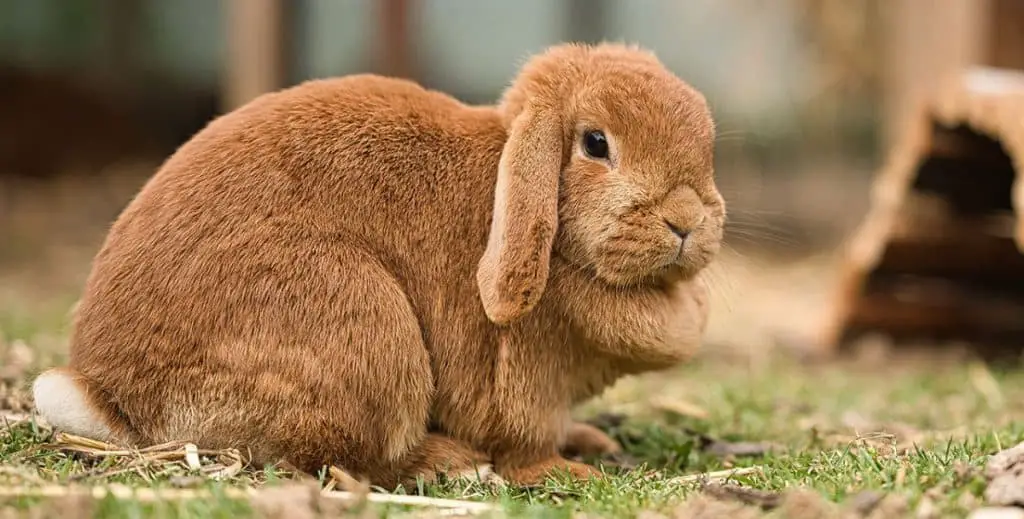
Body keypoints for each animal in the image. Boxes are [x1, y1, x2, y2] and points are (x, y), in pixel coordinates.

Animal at [29, 42, 720, 489]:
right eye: (596, 144)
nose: (686, 221)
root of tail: (109, 397)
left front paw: (591, 442)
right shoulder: (524, 379)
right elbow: (523, 440)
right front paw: (563, 470)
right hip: (366, 331)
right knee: (349, 462)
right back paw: (450, 462)